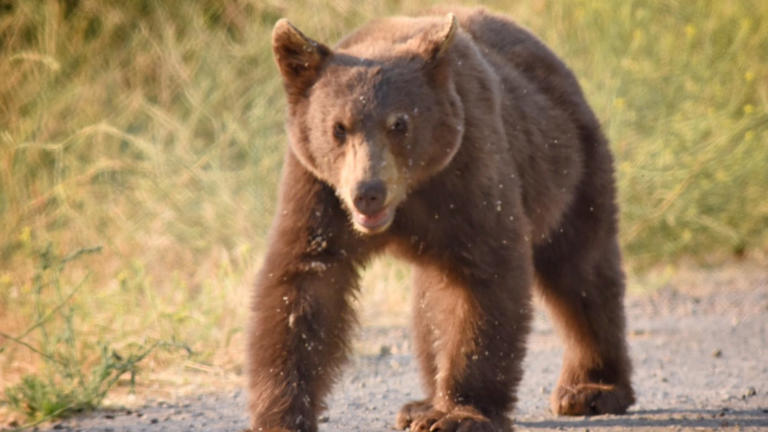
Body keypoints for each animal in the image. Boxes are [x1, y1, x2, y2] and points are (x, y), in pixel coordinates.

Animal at [247, 7, 634, 432]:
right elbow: (304, 283)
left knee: (581, 273)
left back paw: (590, 388)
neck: (409, 194)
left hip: (571, 169)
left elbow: (485, 278)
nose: (368, 192)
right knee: (431, 303)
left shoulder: (468, 172)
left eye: (399, 123)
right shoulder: (319, 190)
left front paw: (461, 413)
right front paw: (282, 414)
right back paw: (421, 404)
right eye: (338, 128)